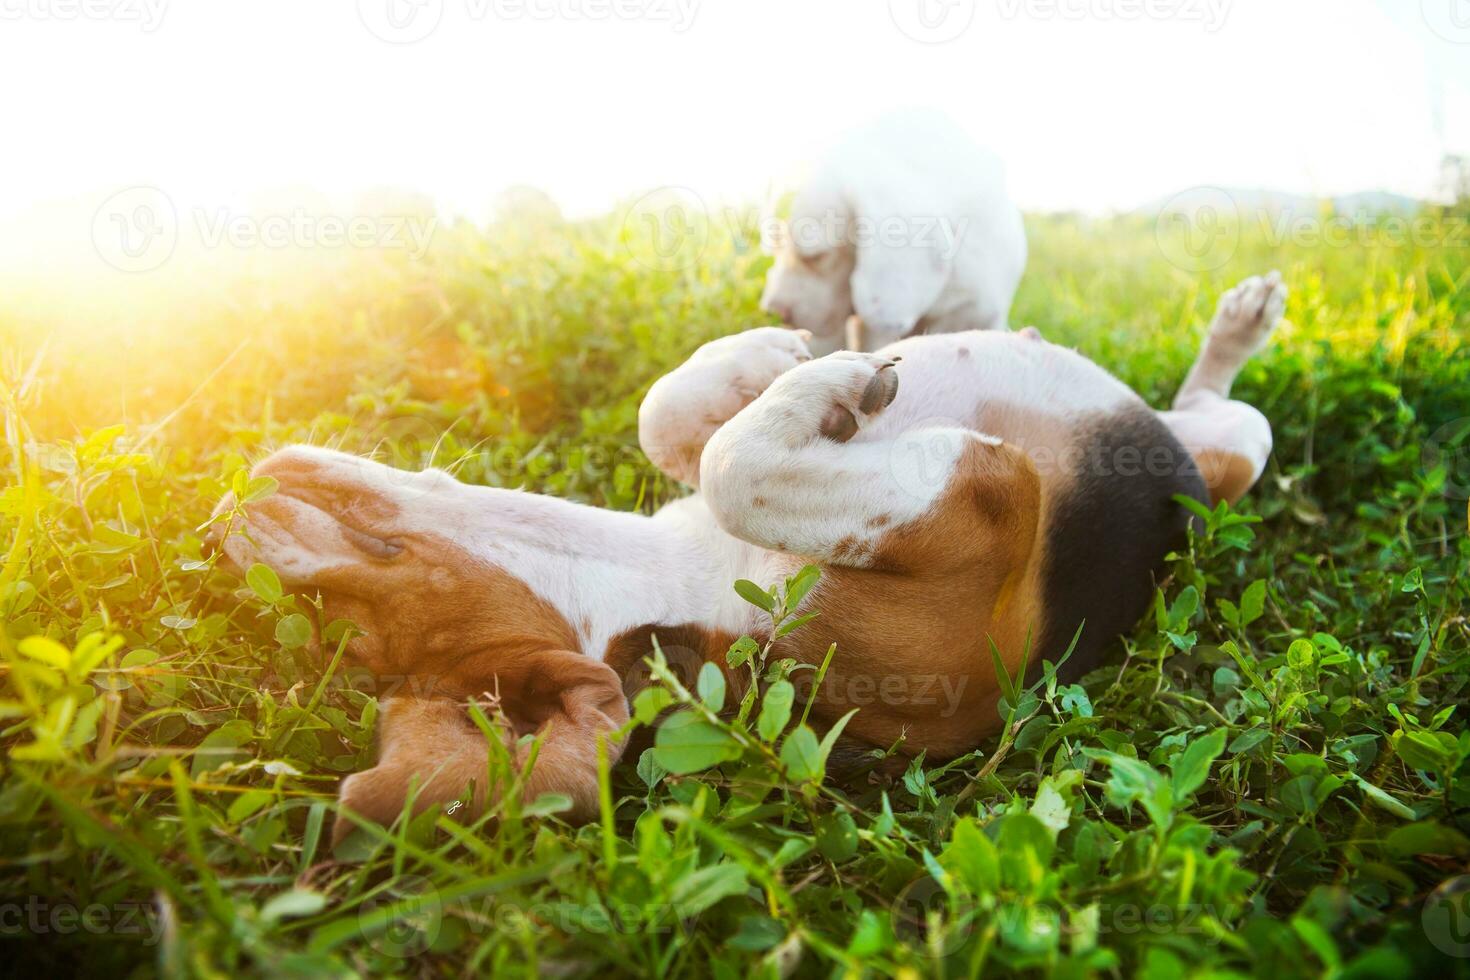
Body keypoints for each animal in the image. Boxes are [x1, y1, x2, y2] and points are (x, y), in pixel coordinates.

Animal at [210, 271, 1287, 840]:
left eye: (354, 581)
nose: (227, 519)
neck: (683, 586)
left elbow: (676, 422)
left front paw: (765, 362)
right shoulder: (994, 504)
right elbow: (739, 463)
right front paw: (821, 381)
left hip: (1186, 453)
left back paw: (1236, 319)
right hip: (1227, 453)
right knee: (1233, 417)